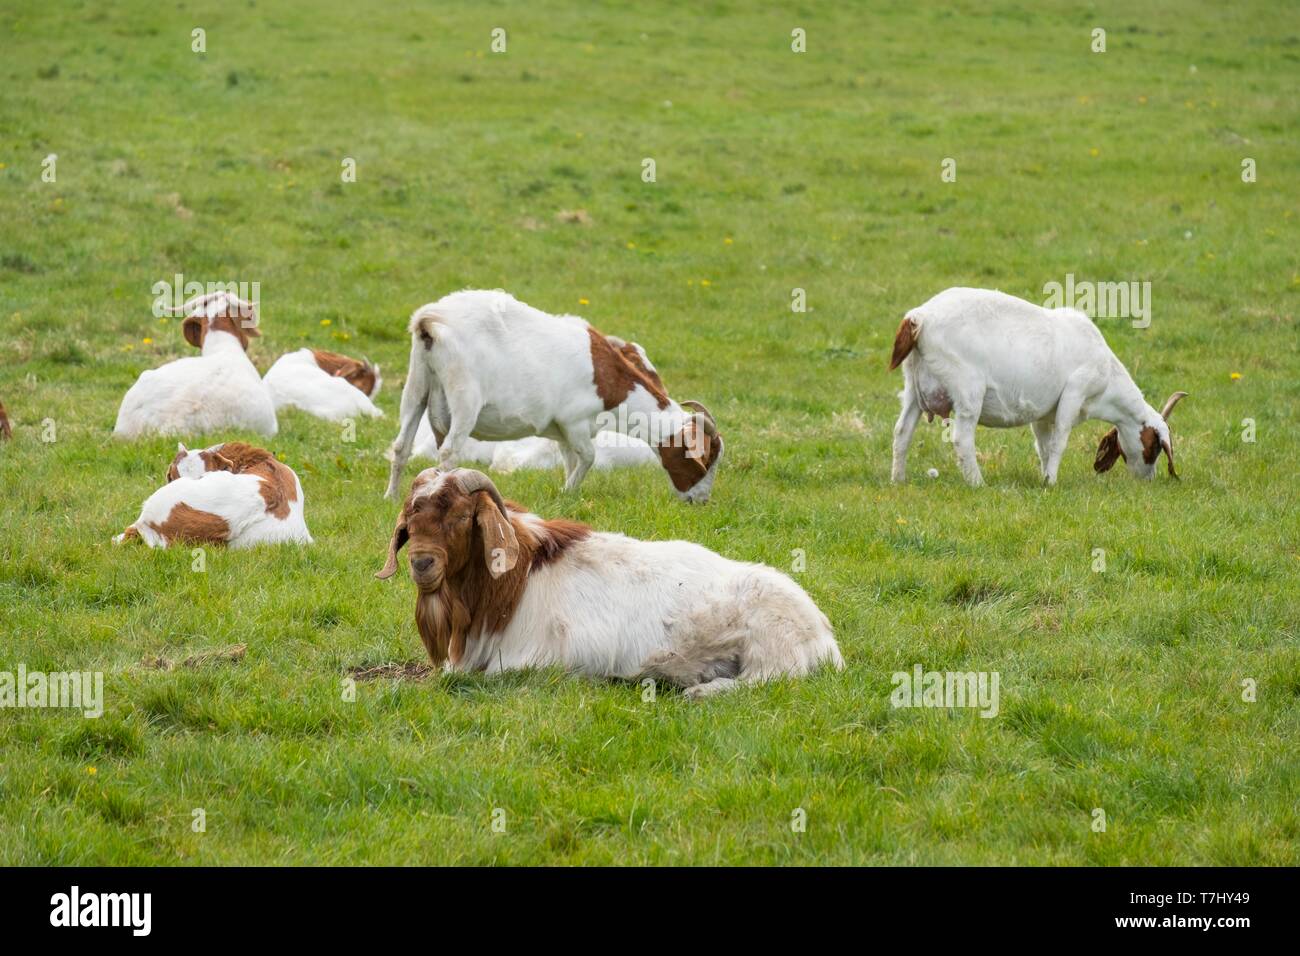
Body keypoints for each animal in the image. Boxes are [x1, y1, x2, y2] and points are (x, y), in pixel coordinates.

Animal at [377, 468, 842, 697]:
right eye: (410, 518)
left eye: (460, 516)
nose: (422, 564)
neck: (516, 580)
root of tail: (824, 638)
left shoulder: (542, 660)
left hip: (772, 646)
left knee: (772, 680)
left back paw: (701, 691)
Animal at [379, 290, 728, 502]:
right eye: (702, 459)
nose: (700, 500)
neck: (609, 382)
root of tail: (430, 322)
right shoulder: (575, 420)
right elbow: (588, 457)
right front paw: (568, 490)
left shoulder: (561, 431)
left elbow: (569, 458)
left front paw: (567, 494)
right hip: (464, 397)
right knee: (450, 451)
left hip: (417, 385)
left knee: (401, 446)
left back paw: (392, 497)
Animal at [883, 287, 1190, 486]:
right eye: (1154, 447)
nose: (1148, 479)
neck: (1107, 381)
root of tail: (920, 317)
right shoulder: (1074, 393)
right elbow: (1060, 441)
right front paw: (1051, 481)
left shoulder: (1043, 414)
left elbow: (1043, 445)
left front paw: (1044, 476)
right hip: (967, 390)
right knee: (961, 439)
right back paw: (977, 482)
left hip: (913, 388)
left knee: (902, 432)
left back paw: (898, 479)